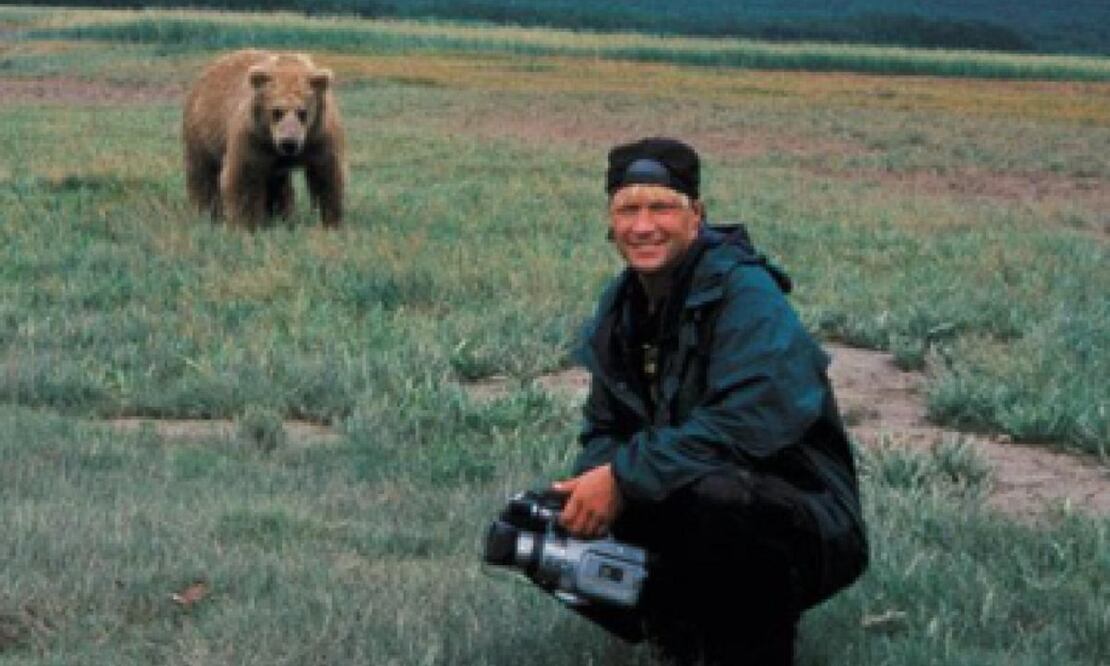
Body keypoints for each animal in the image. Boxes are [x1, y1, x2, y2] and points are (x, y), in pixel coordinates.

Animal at [182, 49, 346, 229]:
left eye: (302, 112)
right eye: (276, 111)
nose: (289, 142)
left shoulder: (320, 137)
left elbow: (327, 177)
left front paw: (330, 222)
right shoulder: (253, 137)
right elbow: (244, 177)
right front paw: (246, 224)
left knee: (278, 185)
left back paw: (281, 216)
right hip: (202, 132)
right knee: (202, 173)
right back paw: (207, 213)